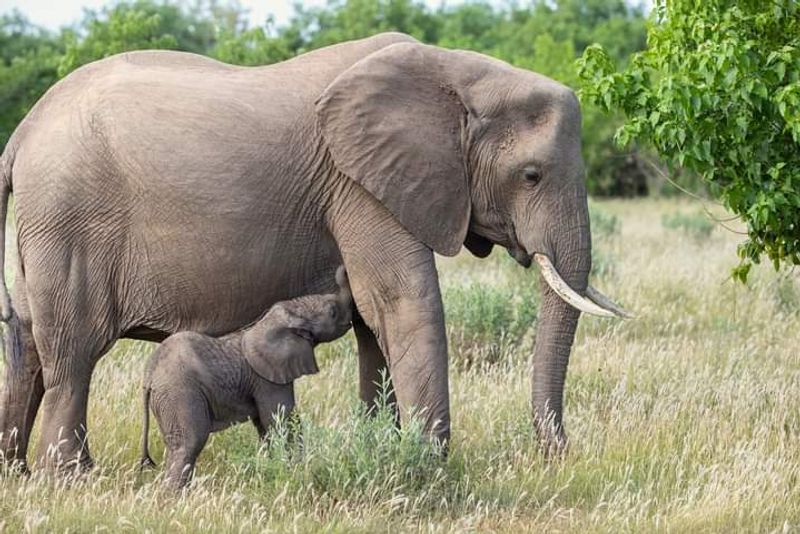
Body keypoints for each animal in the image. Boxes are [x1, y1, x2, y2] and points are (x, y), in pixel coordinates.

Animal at [139, 268, 352, 490]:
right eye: (332, 311)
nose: (342, 269)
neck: (269, 322)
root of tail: (149, 376)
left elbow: (266, 426)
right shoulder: (267, 379)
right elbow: (280, 421)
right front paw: (297, 472)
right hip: (180, 393)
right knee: (189, 444)